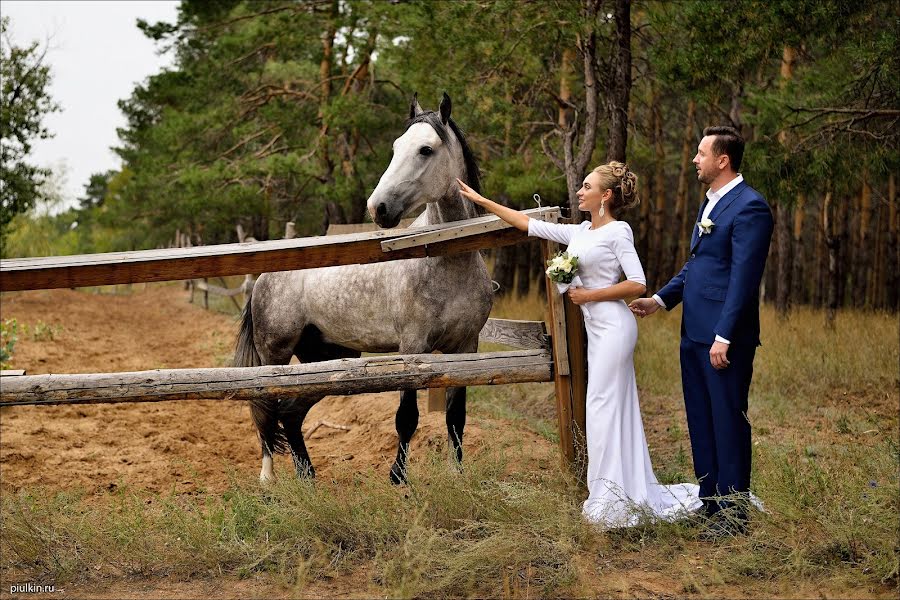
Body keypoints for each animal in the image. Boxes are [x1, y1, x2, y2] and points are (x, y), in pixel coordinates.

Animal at [234, 95, 492, 488]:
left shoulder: (465, 348)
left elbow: (455, 418)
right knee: (266, 408)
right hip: (274, 356)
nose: (378, 208)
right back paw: (268, 479)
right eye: (396, 147)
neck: (446, 261)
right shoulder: (412, 348)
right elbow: (407, 418)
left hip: (324, 359)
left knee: (290, 414)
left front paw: (458, 476)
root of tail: (264, 278)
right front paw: (399, 479)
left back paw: (308, 479)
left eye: (426, 149)